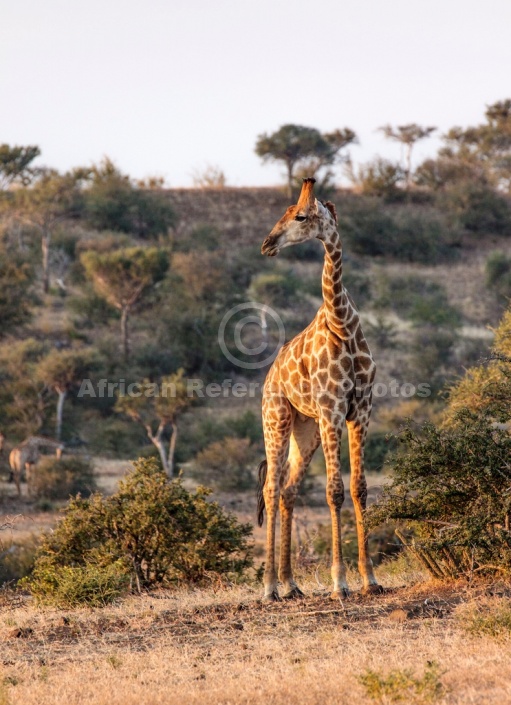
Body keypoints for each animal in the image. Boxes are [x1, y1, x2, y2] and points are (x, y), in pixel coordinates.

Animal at [260, 179, 380, 604]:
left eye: (300, 216)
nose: (267, 244)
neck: (343, 324)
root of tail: (268, 379)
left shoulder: (360, 410)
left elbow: (359, 488)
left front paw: (370, 579)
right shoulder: (332, 410)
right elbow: (334, 491)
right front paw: (339, 583)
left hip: (305, 429)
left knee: (290, 490)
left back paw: (291, 583)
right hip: (277, 419)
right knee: (272, 488)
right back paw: (270, 587)